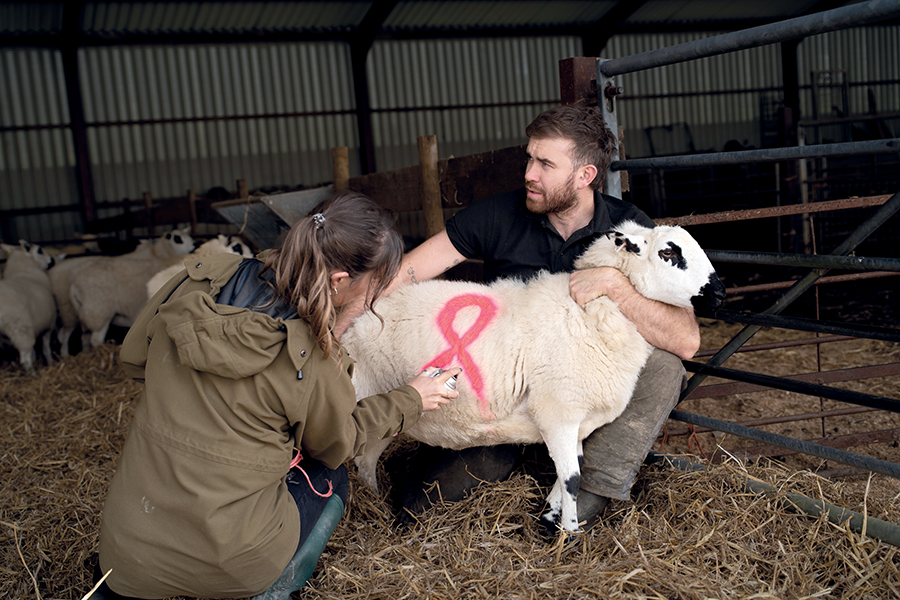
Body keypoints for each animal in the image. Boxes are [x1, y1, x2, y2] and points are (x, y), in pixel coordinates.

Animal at [0, 240, 57, 372]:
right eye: (39, 250)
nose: (52, 260)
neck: (25, 272)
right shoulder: (48, 325)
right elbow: (46, 349)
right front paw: (50, 363)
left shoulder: (34, 326)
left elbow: (33, 352)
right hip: (20, 330)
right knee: (25, 360)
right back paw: (33, 374)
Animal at [66, 226, 196, 350]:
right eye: (177, 239)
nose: (193, 248)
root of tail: (74, 282)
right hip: (99, 312)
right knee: (95, 339)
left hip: (85, 315)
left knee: (84, 338)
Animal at [342, 223, 728, 532]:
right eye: (668, 252)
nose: (721, 294)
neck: (591, 312)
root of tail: (350, 319)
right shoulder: (558, 412)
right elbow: (572, 478)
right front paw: (568, 533)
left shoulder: (577, 420)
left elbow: (571, 471)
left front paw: (551, 518)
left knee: (366, 460)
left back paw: (375, 500)